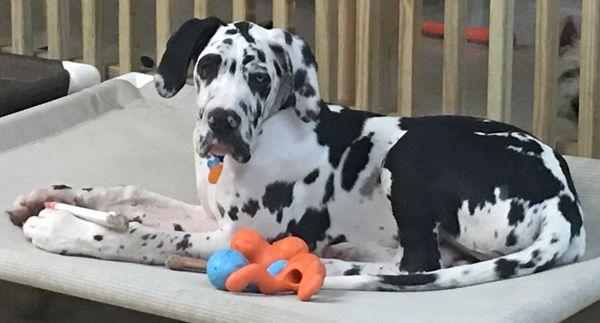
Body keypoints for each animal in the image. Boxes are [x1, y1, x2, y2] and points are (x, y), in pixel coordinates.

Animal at [4, 16, 584, 292]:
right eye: (208, 66)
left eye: (261, 77)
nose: (222, 121)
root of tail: (565, 205)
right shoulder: (209, 213)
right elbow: (132, 196)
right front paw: (45, 196)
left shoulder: (236, 236)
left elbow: (145, 237)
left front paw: (66, 228)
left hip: (411, 150)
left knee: (417, 262)